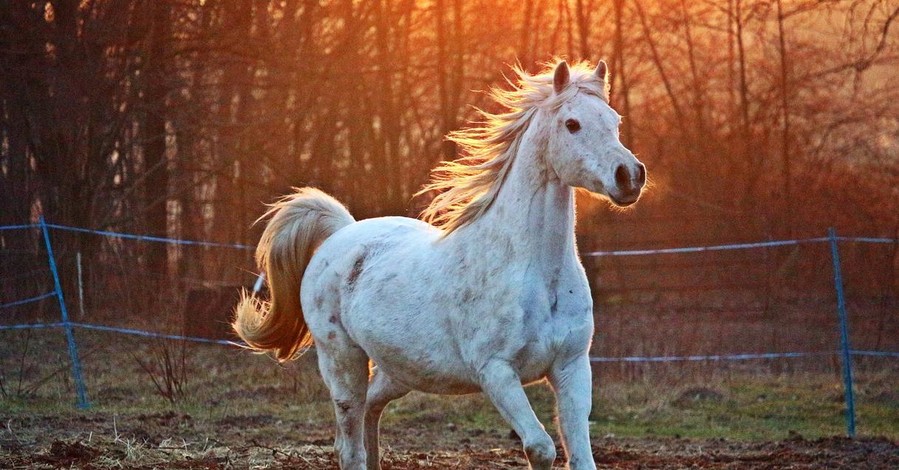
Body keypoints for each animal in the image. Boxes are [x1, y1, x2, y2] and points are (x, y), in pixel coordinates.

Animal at [234, 59, 648, 470]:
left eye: (614, 120)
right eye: (572, 123)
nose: (629, 176)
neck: (535, 275)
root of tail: (342, 232)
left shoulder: (572, 367)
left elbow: (581, 455)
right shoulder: (496, 372)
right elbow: (541, 447)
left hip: (400, 369)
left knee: (370, 411)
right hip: (342, 361)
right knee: (350, 444)